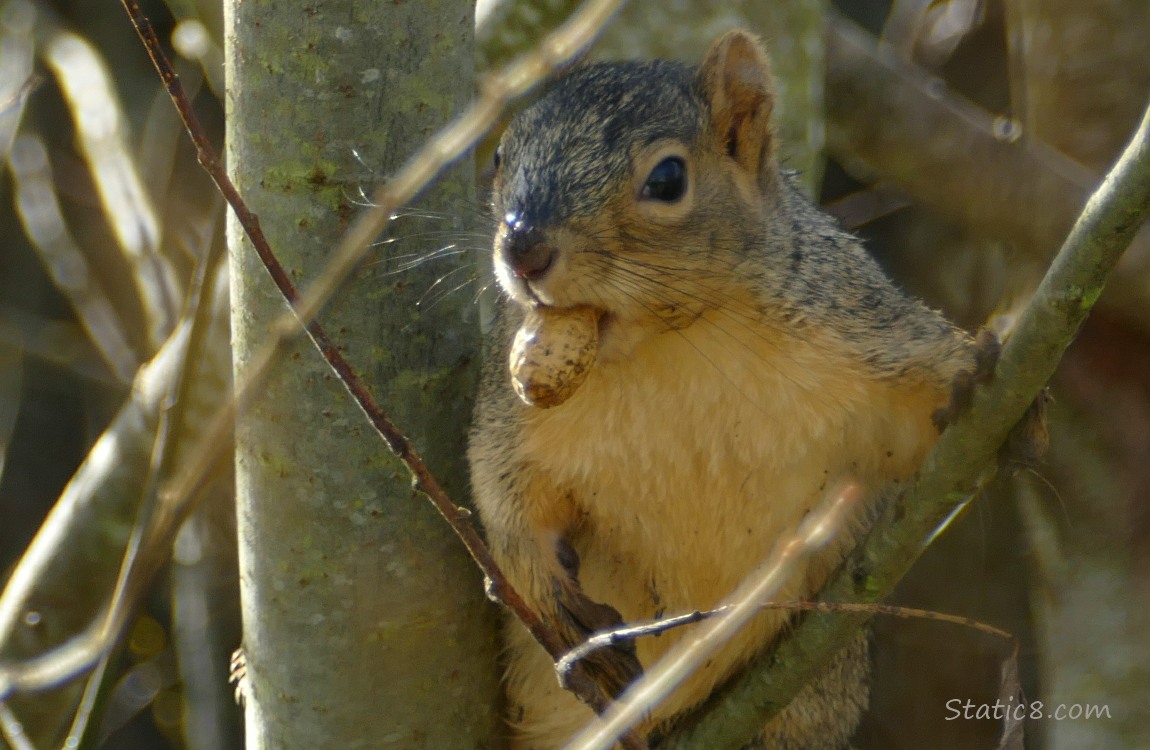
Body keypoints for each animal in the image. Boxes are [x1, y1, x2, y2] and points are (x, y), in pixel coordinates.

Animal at [466, 30, 979, 750]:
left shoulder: (863, 329)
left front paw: (995, 401)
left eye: (667, 180)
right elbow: (503, 500)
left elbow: (928, 400)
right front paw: (552, 598)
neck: (670, 342)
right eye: (501, 157)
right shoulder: (510, 418)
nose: (523, 249)